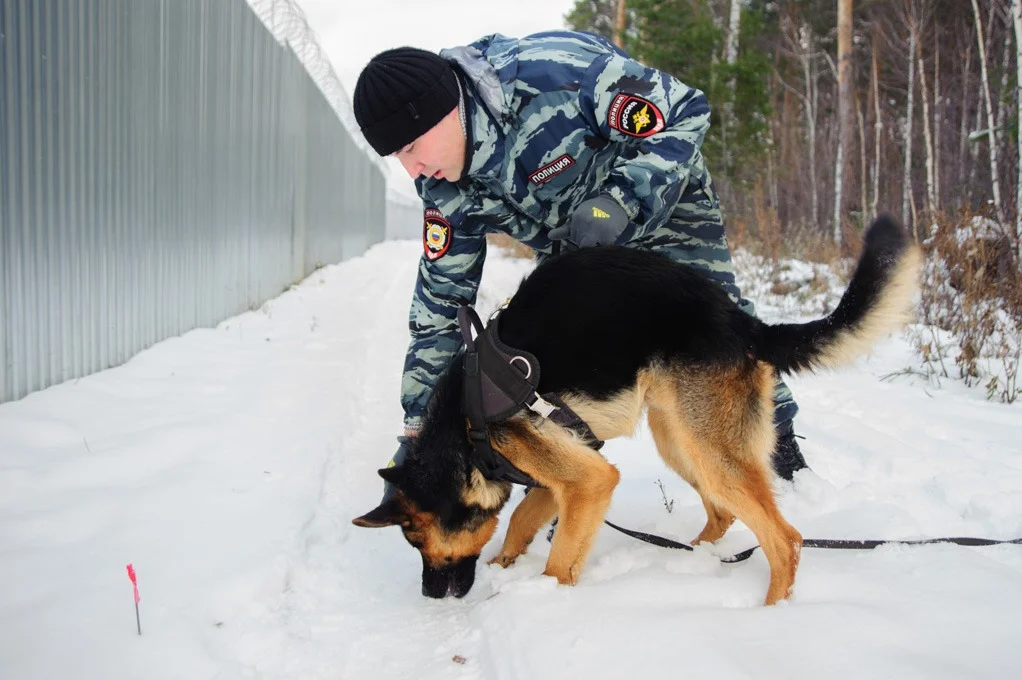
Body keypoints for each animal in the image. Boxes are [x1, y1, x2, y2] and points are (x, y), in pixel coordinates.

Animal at [355, 214, 923, 601]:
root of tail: (743, 323)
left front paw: (543, 601)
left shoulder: (587, 480)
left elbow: (559, 559)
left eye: (416, 537)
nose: (430, 596)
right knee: (723, 513)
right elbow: (519, 521)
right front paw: (506, 568)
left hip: (709, 449)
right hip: (680, 441)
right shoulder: (564, 475)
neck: (464, 429)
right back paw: (695, 560)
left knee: (786, 540)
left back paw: (770, 614)